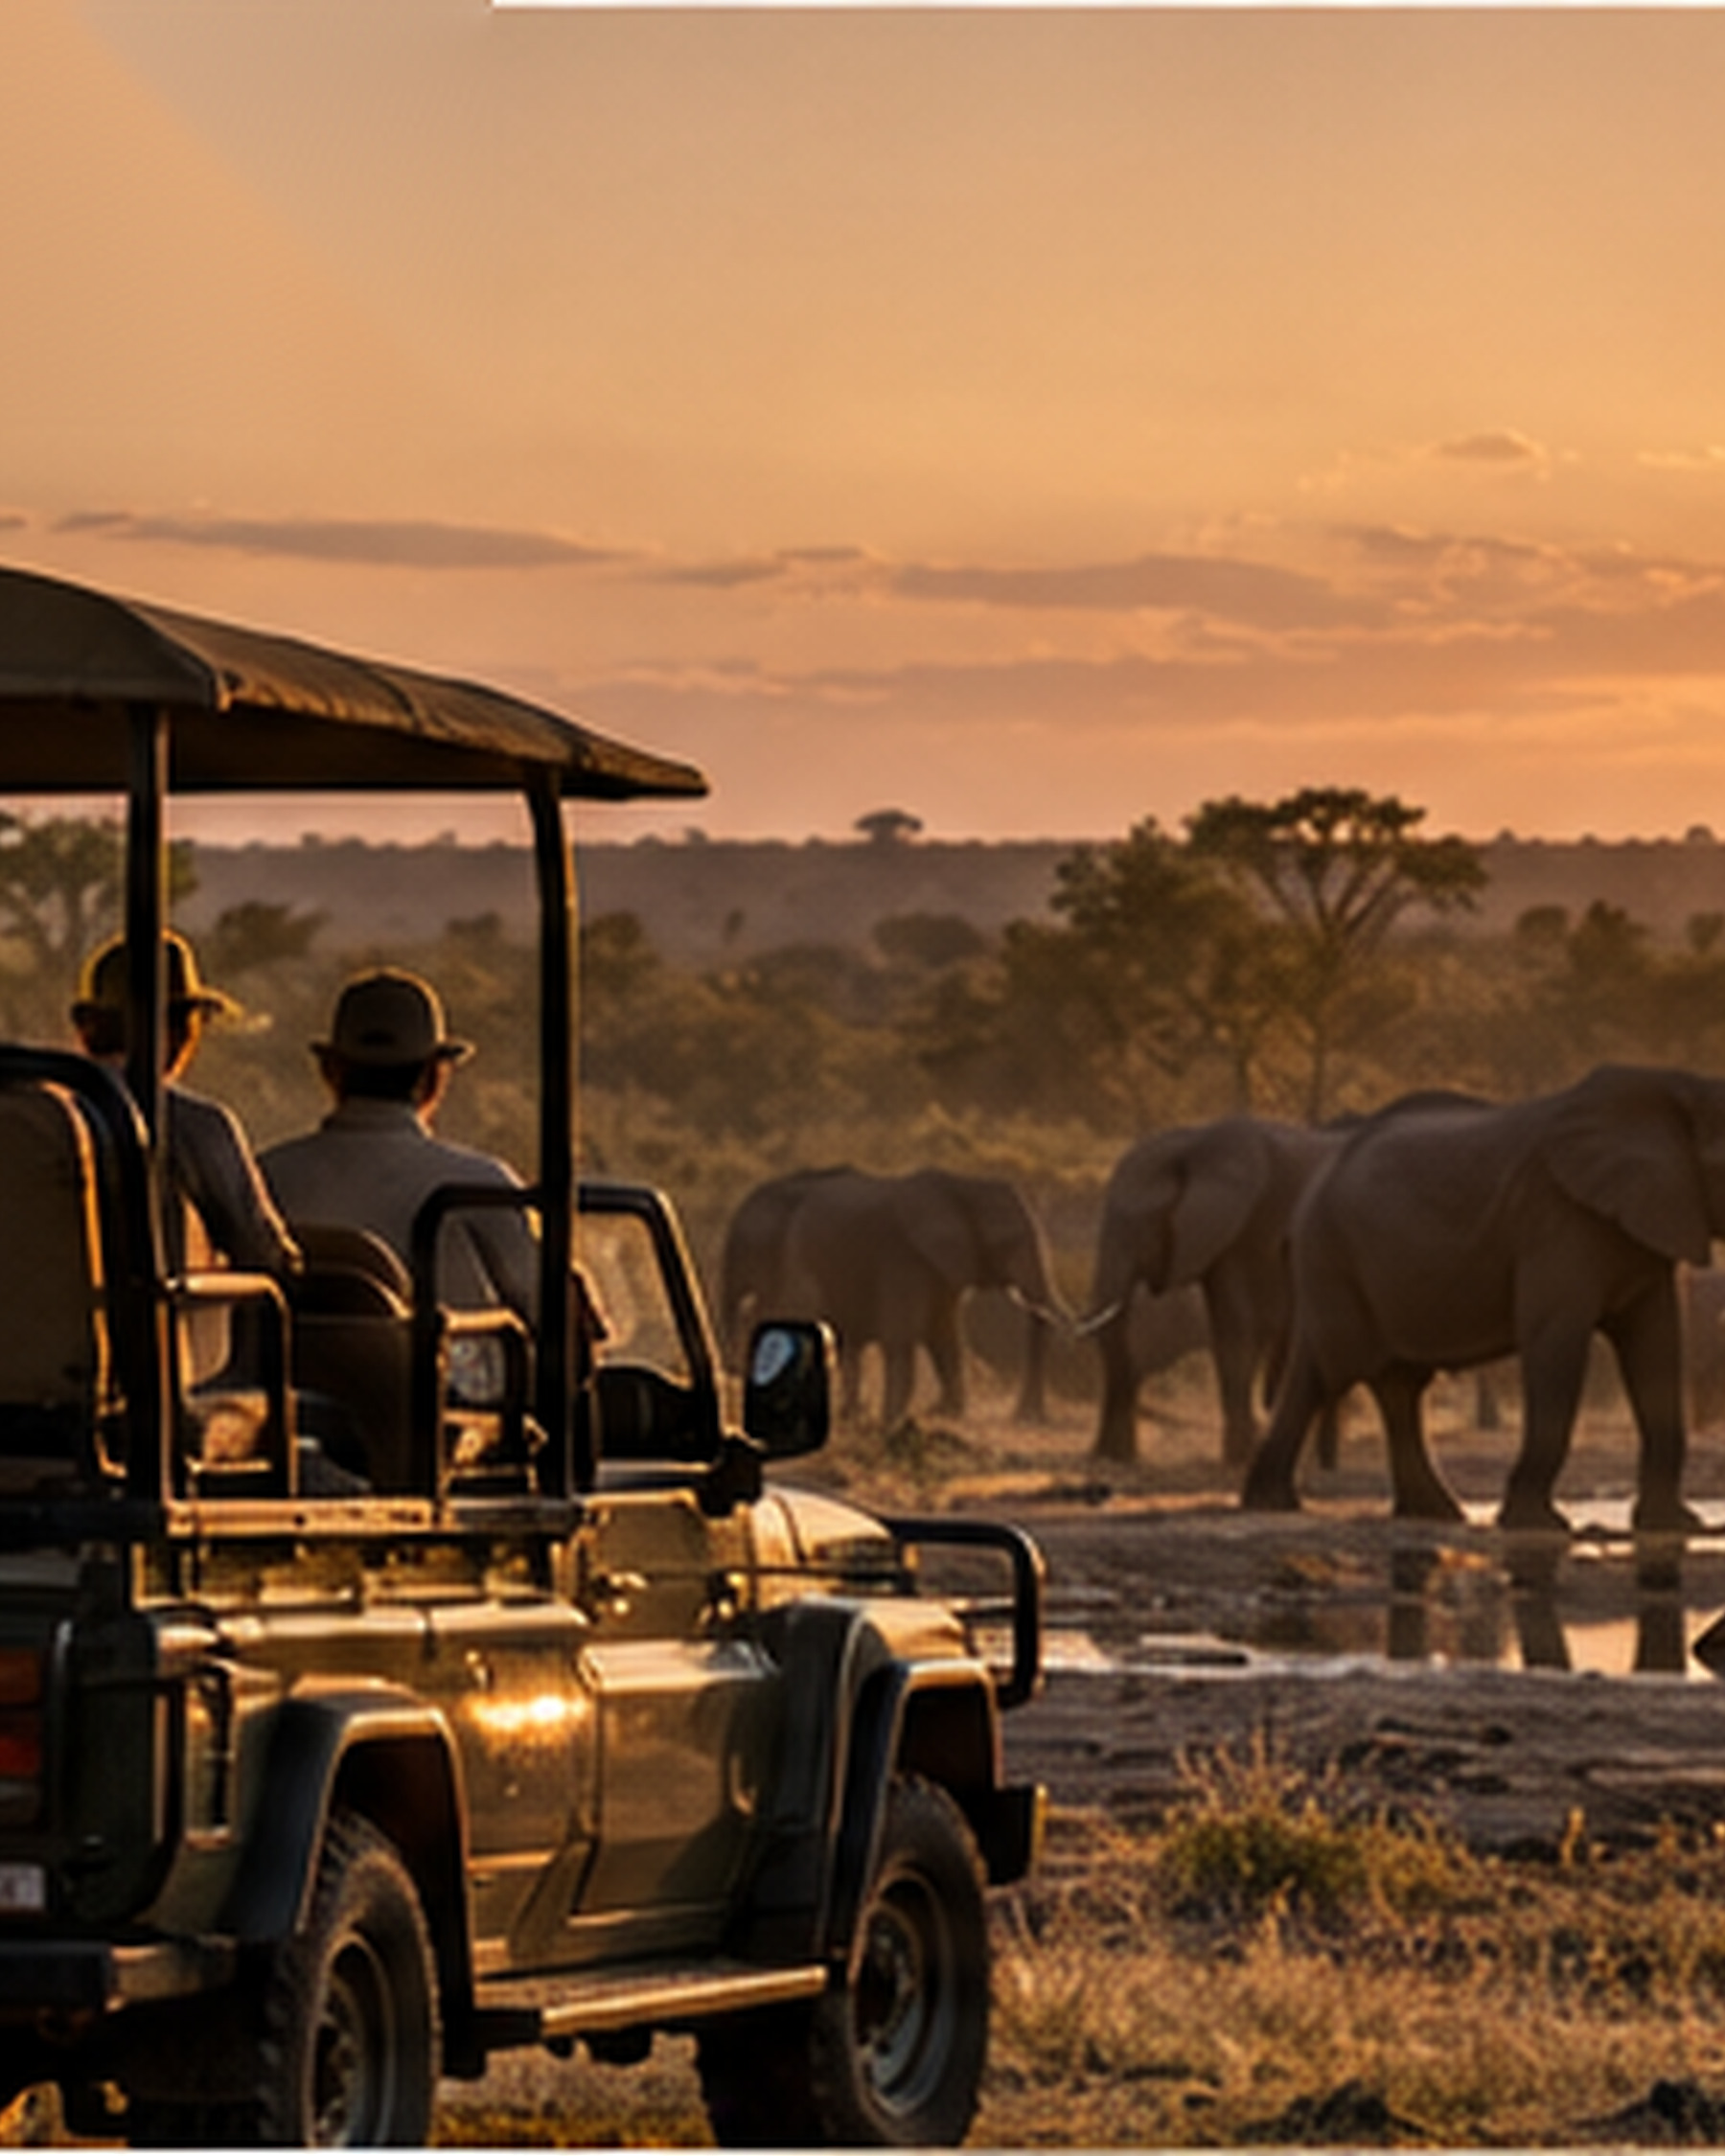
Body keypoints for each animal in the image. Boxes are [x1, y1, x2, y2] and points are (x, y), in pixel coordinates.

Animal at [731, 1165, 1064, 1428]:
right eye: (1009, 1242)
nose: (1025, 1416)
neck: (963, 1184)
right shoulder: (904, 1257)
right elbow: (904, 1337)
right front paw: (893, 1422)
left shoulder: (940, 1269)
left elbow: (944, 1337)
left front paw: (943, 1414)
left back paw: (850, 1415)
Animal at [1086, 1116, 1347, 1466]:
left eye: (1133, 1227)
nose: (1108, 1456)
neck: (1192, 1146)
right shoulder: (1224, 1242)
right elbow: (1229, 1333)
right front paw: (1240, 1456)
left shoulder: (1246, 1225)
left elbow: (1238, 1331)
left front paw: (1241, 1457)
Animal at [1239, 1064, 1725, 1534]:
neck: (1675, 1090)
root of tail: (1310, 1191)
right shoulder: (1555, 1222)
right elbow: (1556, 1342)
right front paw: (1538, 1524)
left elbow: (1656, 1347)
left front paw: (1676, 1524)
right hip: (1331, 1255)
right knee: (1328, 1369)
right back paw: (1270, 1503)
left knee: (1398, 1385)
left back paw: (1434, 1512)